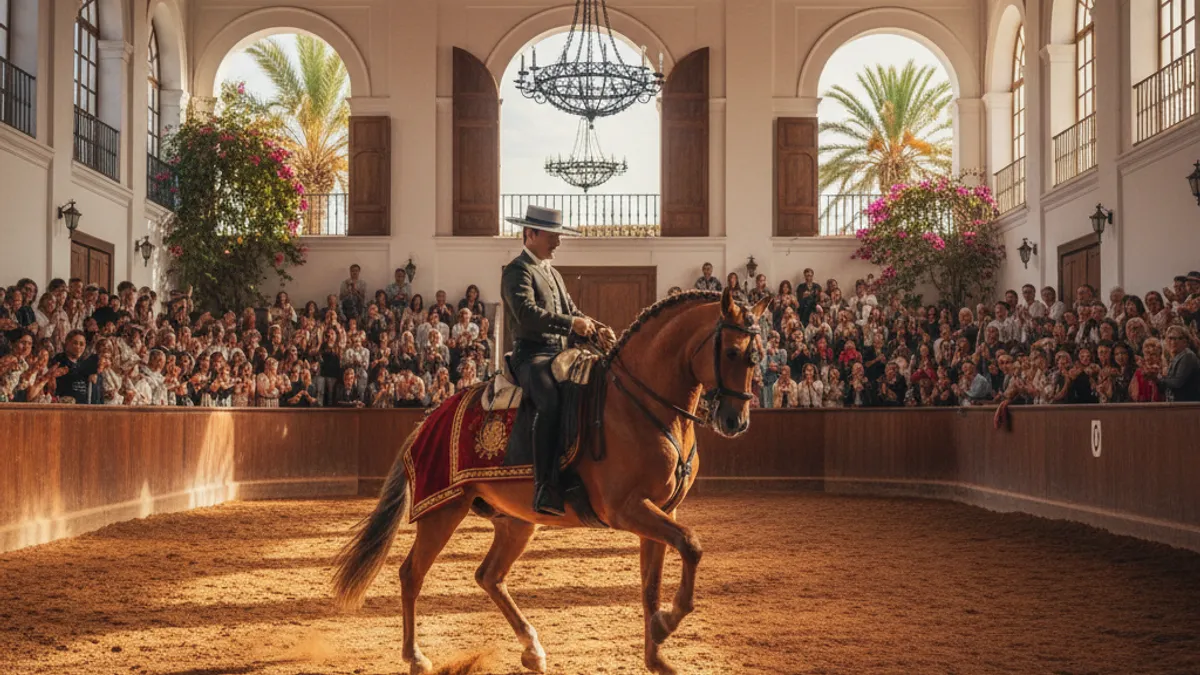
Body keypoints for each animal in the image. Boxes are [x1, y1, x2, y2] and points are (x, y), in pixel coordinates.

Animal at [332, 287, 768, 675]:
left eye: (758, 355)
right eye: (732, 352)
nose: (736, 421)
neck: (643, 406)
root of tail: (431, 416)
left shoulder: (661, 511)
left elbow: (651, 584)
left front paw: (657, 656)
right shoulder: (627, 509)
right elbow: (692, 545)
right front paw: (667, 623)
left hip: (516, 522)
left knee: (489, 576)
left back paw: (532, 649)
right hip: (444, 509)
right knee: (412, 574)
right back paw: (416, 657)